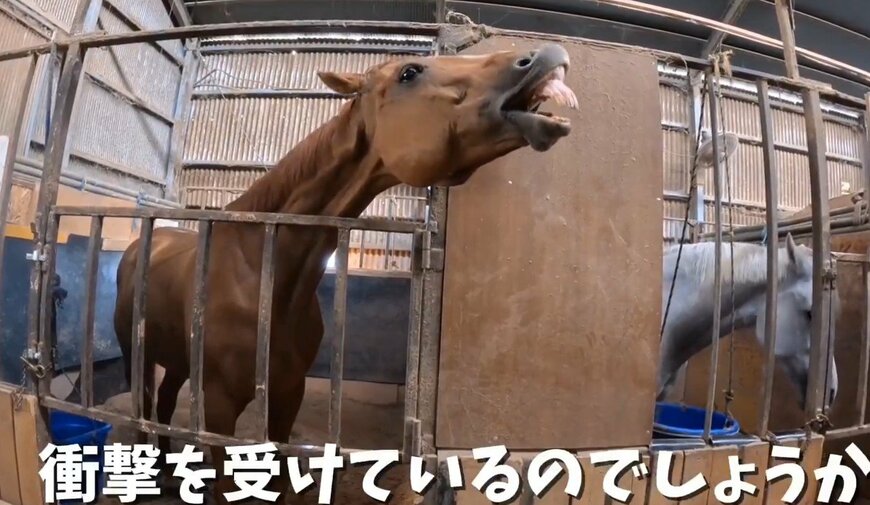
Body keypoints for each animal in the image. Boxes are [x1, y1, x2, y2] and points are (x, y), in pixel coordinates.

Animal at [113, 43, 579, 502]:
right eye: (409, 73)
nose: (545, 56)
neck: (260, 274)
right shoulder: (219, 406)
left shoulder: (288, 393)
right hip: (139, 354)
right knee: (147, 405)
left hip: (177, 360)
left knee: (165, 404)